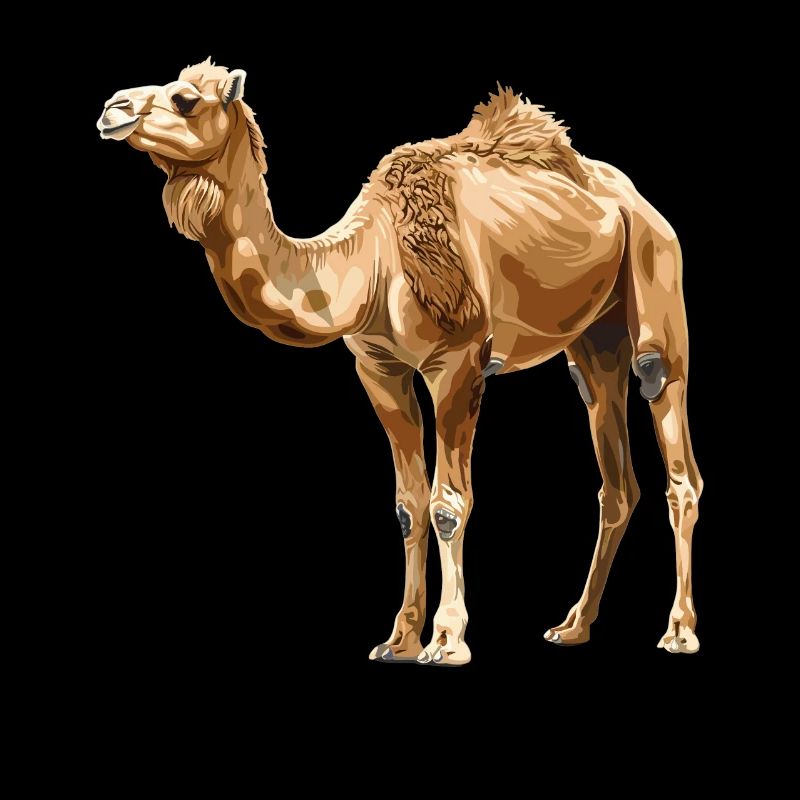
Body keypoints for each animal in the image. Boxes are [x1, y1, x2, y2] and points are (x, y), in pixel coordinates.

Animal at [97, 60, 703, 663]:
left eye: (185, 99)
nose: (112, 108)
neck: (370, 263)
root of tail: (634, 199)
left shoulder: (458, 361)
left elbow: (448, 504)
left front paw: (447, 640)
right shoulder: (378, 369)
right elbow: (408, 505)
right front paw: (399, 639)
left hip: (656, 273)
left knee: (671, 433)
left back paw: (677, 631)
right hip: (592, 338)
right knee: (613, 467)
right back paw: (572, 625)